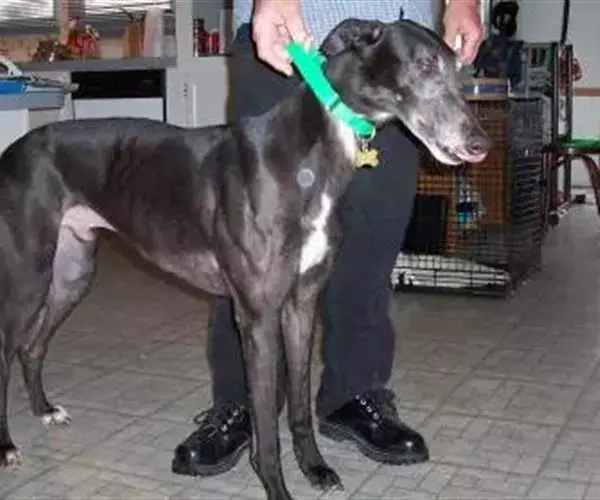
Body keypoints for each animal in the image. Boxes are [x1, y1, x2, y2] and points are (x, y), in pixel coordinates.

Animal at [0, 18, 489, 500]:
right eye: (423, 64)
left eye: (460, 67)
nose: (479, 144)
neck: (307, 158)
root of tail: (14, 151)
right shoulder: (257, 315)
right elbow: (265, 426)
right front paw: (278, 488)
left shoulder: (300, 305)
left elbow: (298, 405)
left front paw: (315, 468)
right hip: (26, 280)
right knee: (7, 352)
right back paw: (7, 446)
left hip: (70, 272)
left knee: (32, 345)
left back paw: (44, 409)